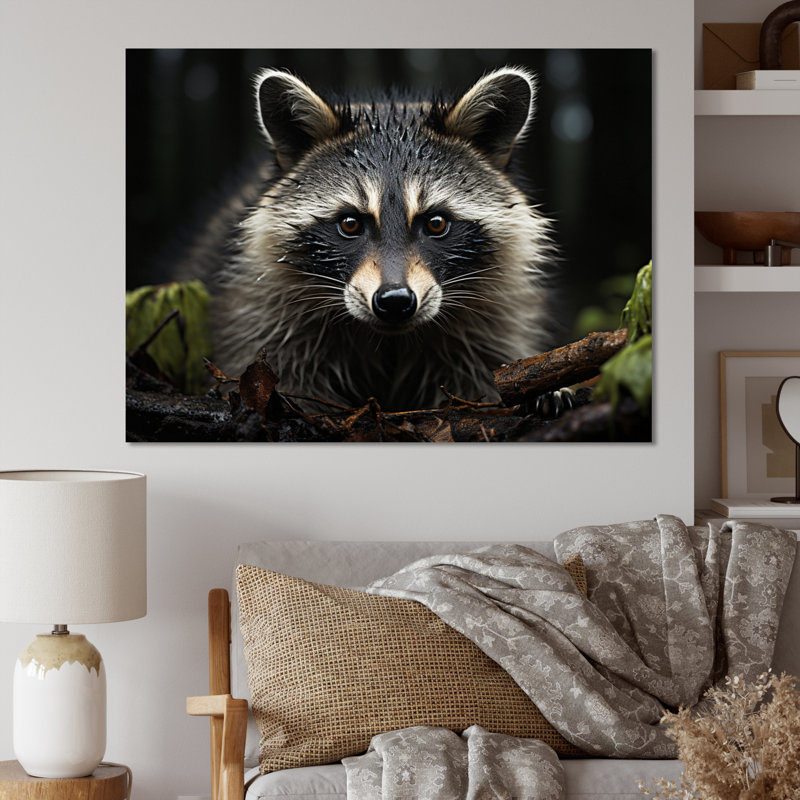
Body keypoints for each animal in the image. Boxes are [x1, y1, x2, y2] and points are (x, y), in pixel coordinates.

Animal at [181, 66, 555, 411]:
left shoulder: (493, 320)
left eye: (436, 223)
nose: (395, 301)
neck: (388, 339)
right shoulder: (260, 314)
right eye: (350, 224)